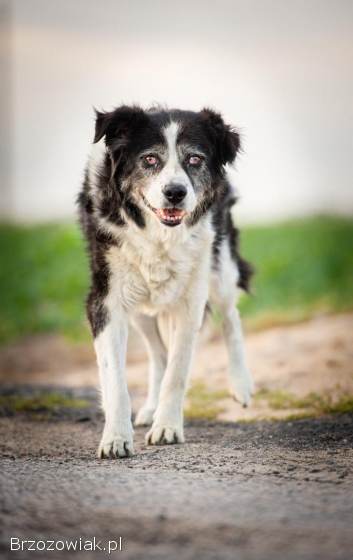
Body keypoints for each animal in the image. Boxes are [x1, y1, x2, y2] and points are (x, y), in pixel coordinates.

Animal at [77, 103, 253, 458]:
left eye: (195, 159)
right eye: (149, 159)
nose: (175, 192)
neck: (159, 235)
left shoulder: (190, 301)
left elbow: (178, 371)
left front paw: (168, 427)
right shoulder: (106, 300)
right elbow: (115, 379)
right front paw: (116, 437)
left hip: (220, 268)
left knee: (230, 316)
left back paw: (240, 385)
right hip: (141, 307)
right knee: (157, 352)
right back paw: (149, 409)